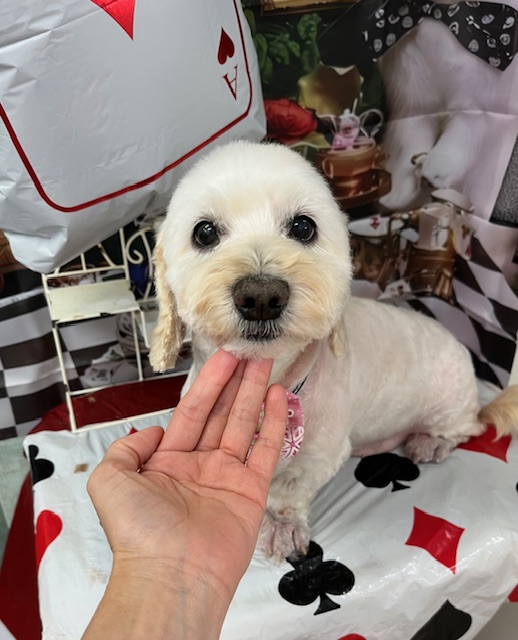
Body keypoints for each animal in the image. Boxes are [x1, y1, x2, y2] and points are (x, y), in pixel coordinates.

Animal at [149, 140, 518, 561]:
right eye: (205, 232)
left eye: (303, 227)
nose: (261, 297)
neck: (269, 383)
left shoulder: (319, 458)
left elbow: (287, 493)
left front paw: (281, 526)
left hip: (450, 406)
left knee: (468, 429)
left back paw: (431, 442)